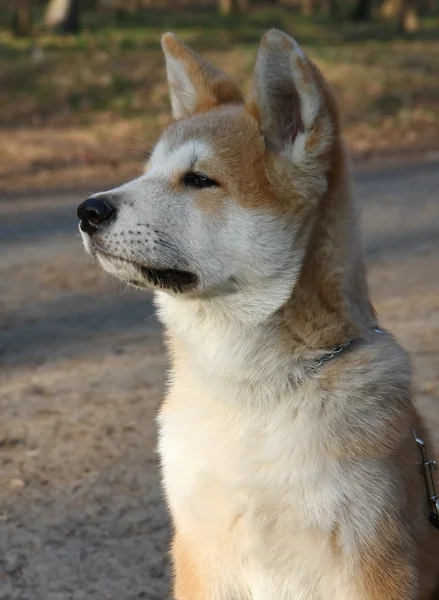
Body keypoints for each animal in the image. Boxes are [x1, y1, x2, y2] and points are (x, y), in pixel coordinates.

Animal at [79, 29, 439, 600]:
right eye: (148, 172)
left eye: (199, 180)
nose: (87, 211)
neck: (251, 391)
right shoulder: (199, 552)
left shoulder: (374, 560)